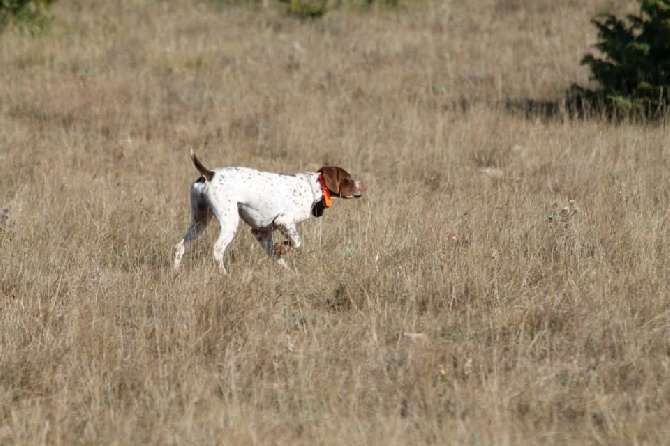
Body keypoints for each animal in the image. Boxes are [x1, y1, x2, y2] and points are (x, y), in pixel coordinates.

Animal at [173, 152, 368, 274]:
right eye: (348, 178)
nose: (364, 185)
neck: (315, 186)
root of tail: (209, 174)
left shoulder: (261, 232)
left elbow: (278, 257)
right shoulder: (284, 222)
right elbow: (296, 243)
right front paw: (283, 247)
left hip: (199, 221)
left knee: (179, 247)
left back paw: (174, 273)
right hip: (229, 221)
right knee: (217, 249)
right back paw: (224, 274)